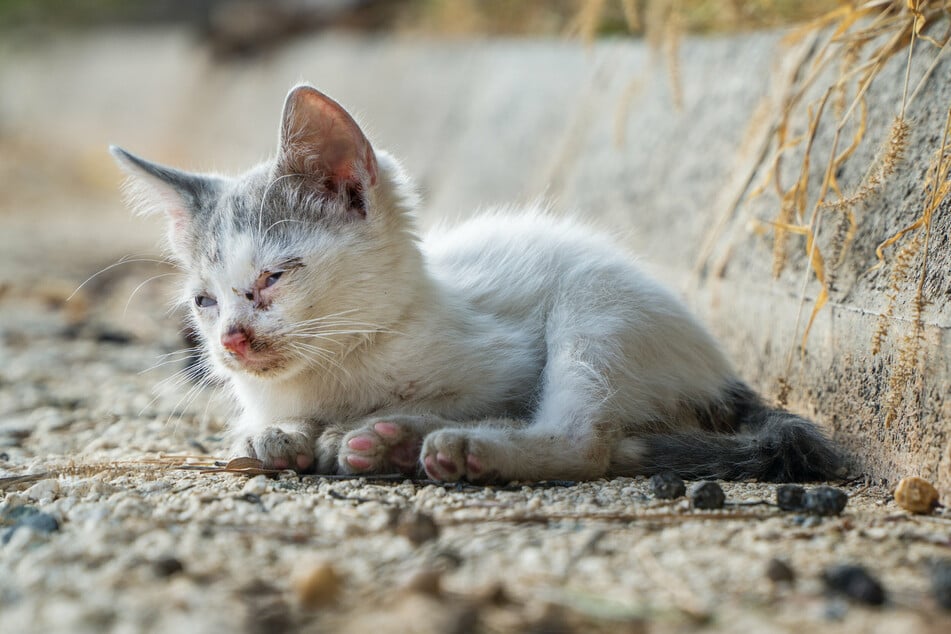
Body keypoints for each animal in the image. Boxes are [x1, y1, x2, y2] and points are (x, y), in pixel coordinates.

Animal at [111, 82, 840, 478]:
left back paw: (454, 449)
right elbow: (267, 425)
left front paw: (374, 428)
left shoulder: (504, 362)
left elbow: (473, 400)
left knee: (588, 443)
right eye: (204, 301)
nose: (231, 341)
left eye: (273, 276)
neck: (342, 367)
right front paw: (276, 434)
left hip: (596, 307)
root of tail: (720, 367)